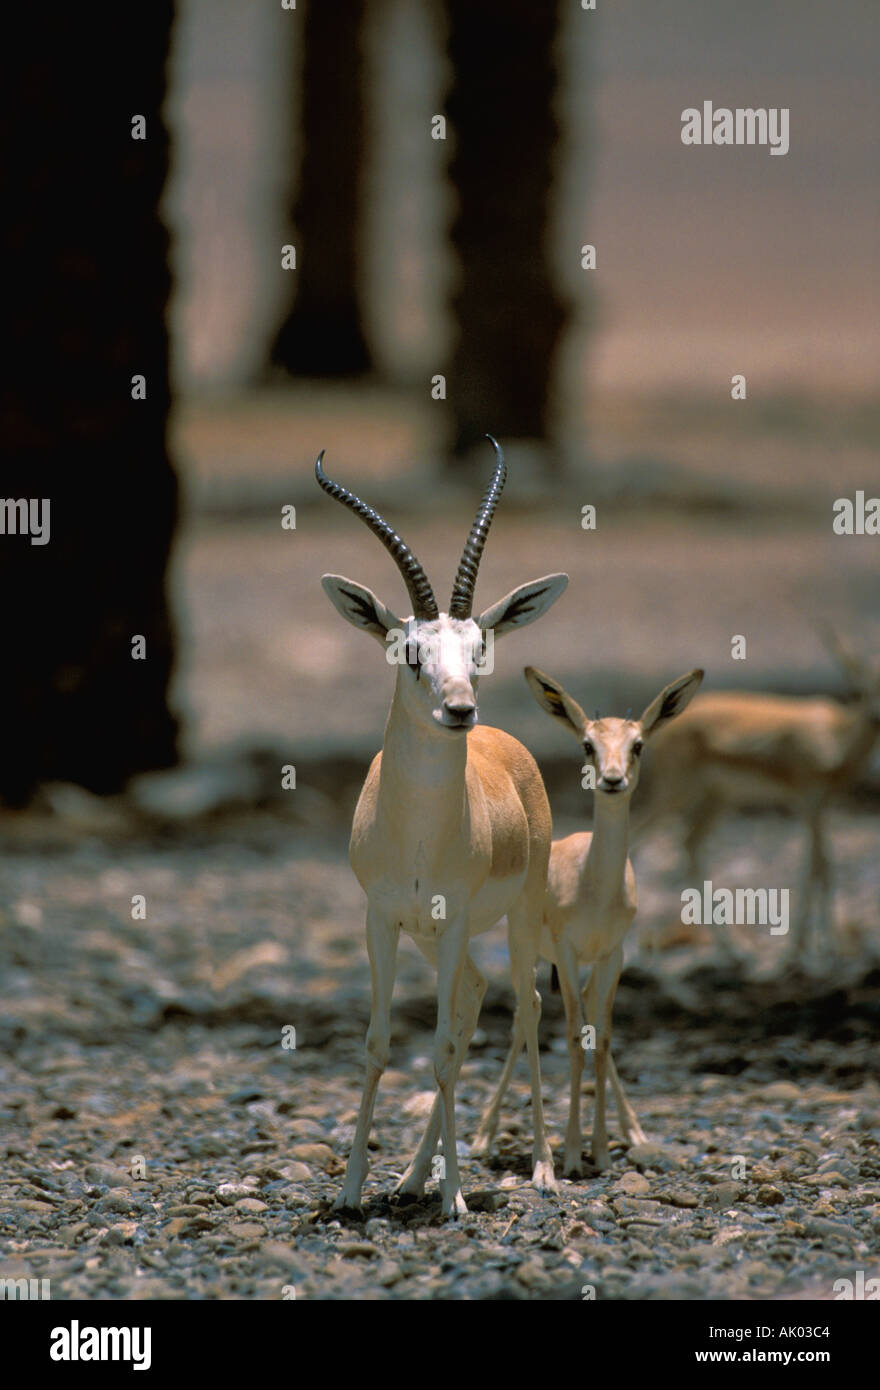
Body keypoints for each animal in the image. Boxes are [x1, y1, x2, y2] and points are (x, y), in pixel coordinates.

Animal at [316, 439, 568, 1217]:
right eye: (410, 651)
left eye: (479, 648)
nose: (459, 709)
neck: (421, 833)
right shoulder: (381, 919)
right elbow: (379, 1044)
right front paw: (352, 1190)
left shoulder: (454, 919)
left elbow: (445, 1050)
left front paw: (454, 1198)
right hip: (430, 938)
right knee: (474, 999)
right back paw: (409, 1176)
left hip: (518, 916)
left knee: (523, 1007)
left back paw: (543, 1168)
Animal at [473, 665, 704, 1175]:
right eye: (586, 744)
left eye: (637, 744)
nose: (613, 779)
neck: (592, 884)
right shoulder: (566, 949)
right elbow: (575, 1038)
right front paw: (574, 1154)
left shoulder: (612, 954)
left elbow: (604, 1038)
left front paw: (598, 1149)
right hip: (529, 953)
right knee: (524, 1015)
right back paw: (483, 1136)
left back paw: (634, 1130)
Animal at [633, 633, 880, 954]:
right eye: (861, 689)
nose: (876, 716)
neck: (837, 735)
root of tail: (655, 730)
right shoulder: (809, 804)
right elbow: (818, 867)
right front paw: (811, 950)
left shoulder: (821, 807)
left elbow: (821, 866)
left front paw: (813, 947)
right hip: (675, 795)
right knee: (637, 837)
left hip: (717, 800)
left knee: (690, 843)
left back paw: (732, 951)